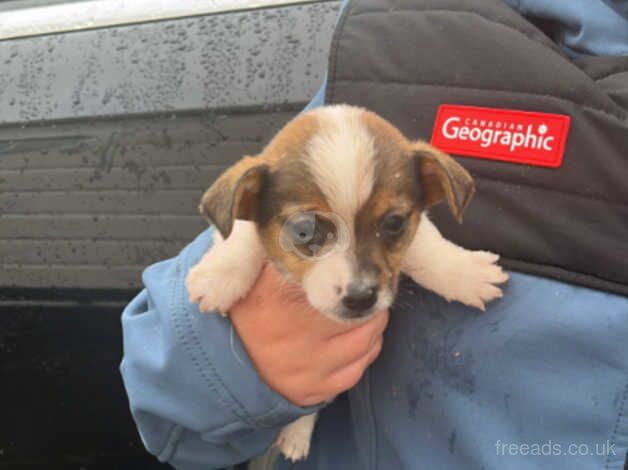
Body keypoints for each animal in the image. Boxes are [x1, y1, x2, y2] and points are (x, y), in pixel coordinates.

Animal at [184, 104, 508, 460]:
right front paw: (219, 275)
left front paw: (464, 272)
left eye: (394, 223)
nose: (361, 298)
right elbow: (242, 237)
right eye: (304, 231)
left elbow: (426, 246)